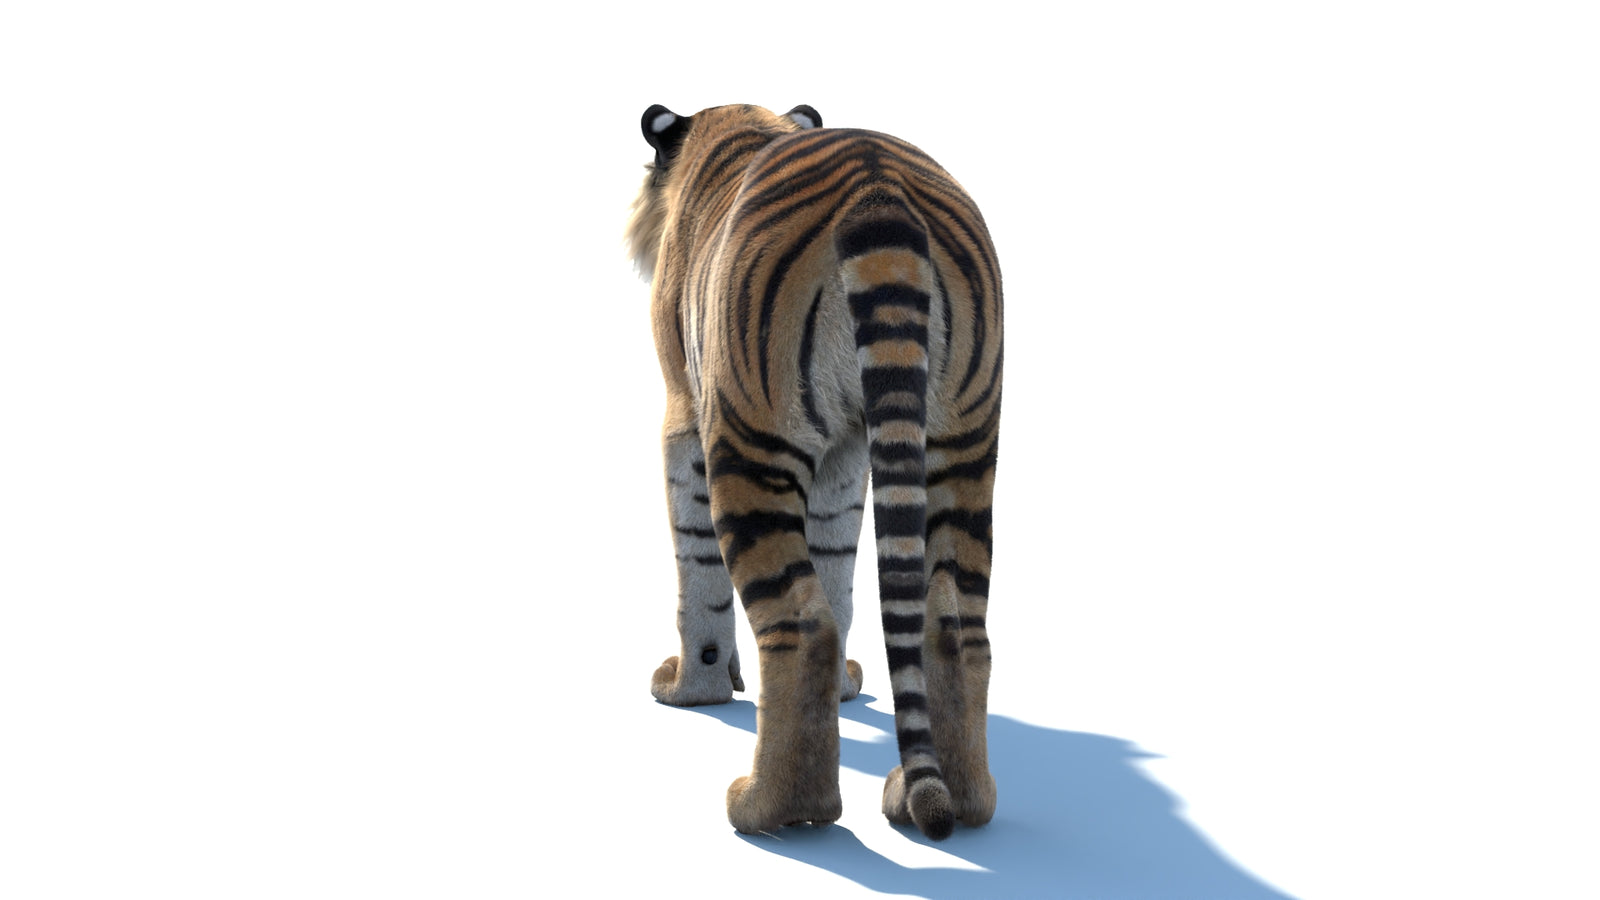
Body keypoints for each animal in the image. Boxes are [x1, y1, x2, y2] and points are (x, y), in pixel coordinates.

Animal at [626, 103, 1002, 840]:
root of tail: (878, 191)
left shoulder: (684, 418)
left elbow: (698, 576)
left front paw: (692, 690)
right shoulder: (847, 456)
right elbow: (838, 575)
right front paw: (848, 692)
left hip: (751, 438)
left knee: (802, 629)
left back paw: (771, 808)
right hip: (962, 444)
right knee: (954, 624)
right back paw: (954, 801)